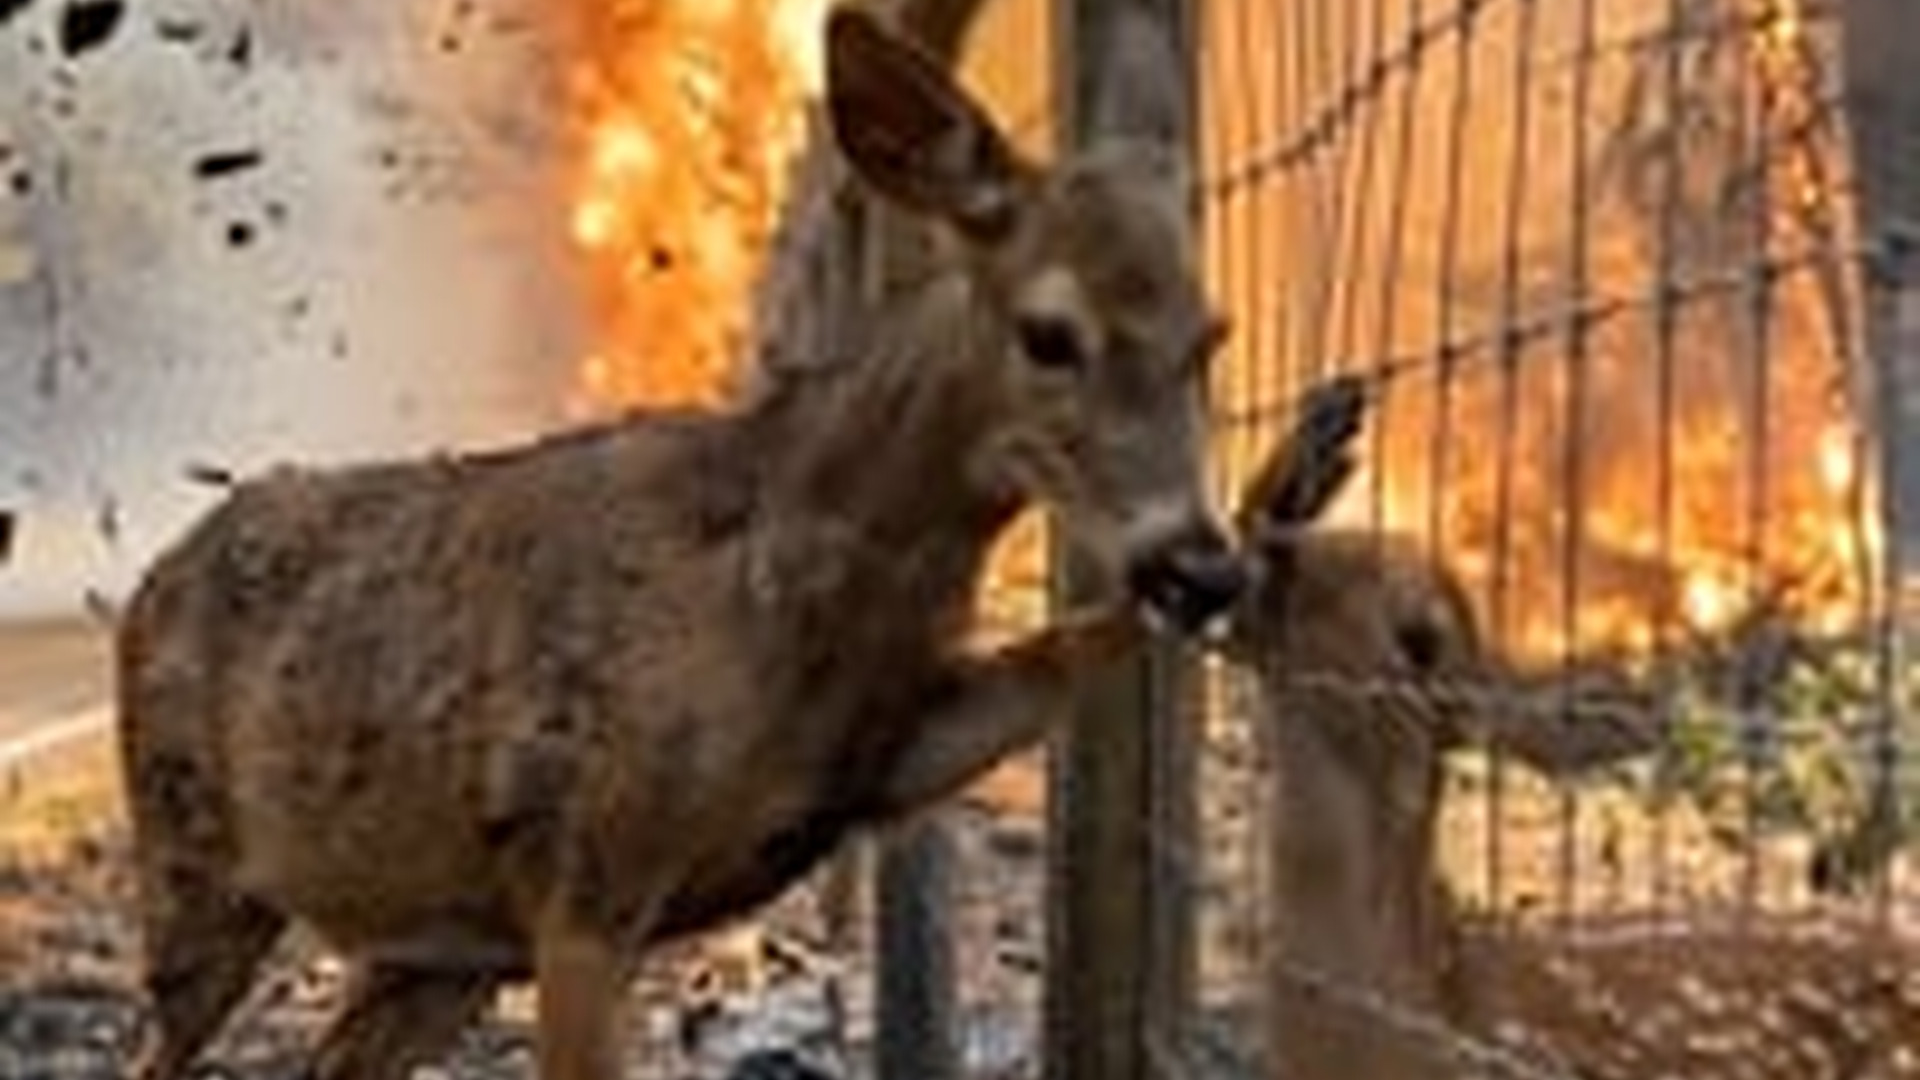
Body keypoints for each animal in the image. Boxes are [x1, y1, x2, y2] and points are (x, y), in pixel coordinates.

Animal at [114, 9, 1240, 1080]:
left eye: (1209, 337)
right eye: (1049, 334)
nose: (1200, 564)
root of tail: (154, 577)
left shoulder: (877, 761)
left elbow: (1057, 659)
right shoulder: (585, 871)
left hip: (438, 951)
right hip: (191, 861)